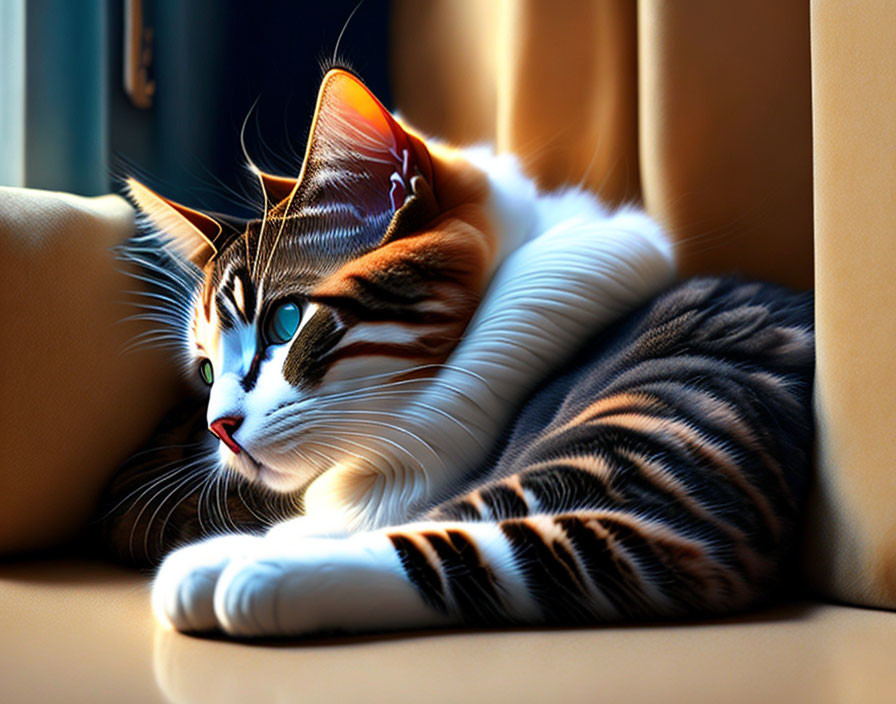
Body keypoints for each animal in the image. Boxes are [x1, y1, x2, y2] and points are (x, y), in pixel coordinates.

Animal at [96, 69, 812, 636]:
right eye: (206, 369)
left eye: (286, 322)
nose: (219, 427)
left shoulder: (672, 495)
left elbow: (435, 546)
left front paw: (238, 565)